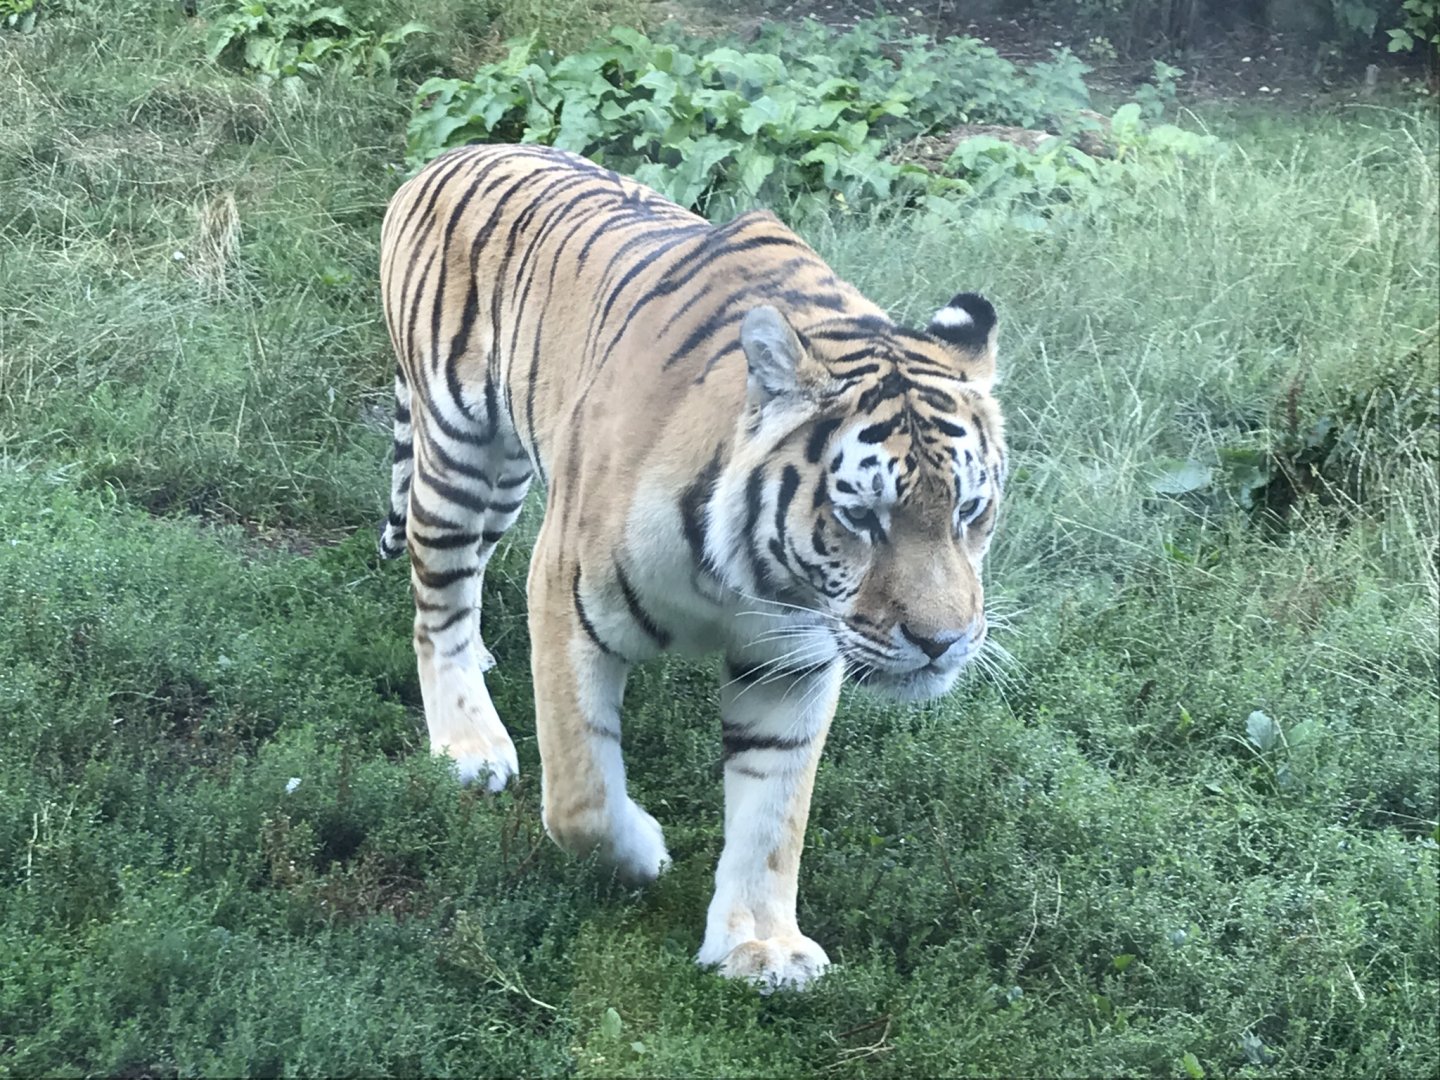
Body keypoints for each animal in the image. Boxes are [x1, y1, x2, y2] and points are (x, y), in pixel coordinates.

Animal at [378, 144, 1006, 991]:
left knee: (471, 570)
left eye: (971, 510)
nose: (944, 643)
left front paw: (761, 945)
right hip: (457, 455)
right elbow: (581, 795)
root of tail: (453, 152)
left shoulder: (790, 660)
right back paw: (468, 742)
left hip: (508, 475)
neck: (752, 574)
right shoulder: (566, 597)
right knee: (436, 598)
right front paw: (644, 851)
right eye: (860, 518)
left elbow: (773, 812)